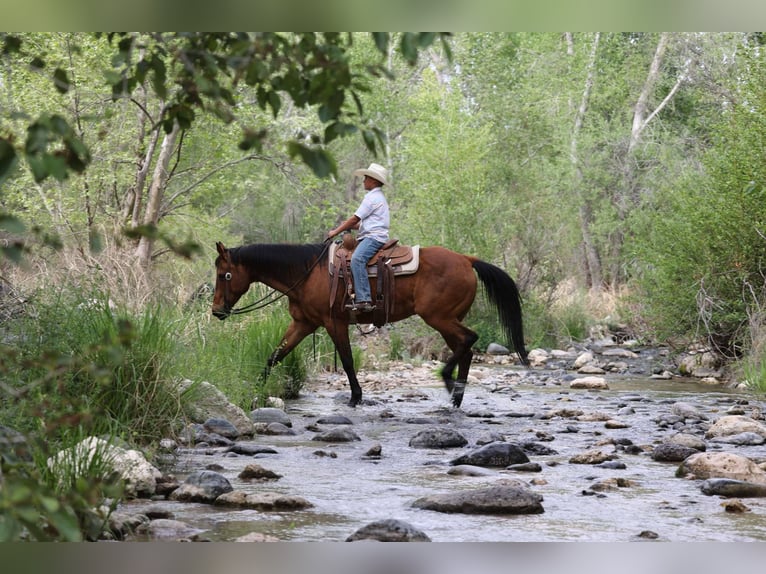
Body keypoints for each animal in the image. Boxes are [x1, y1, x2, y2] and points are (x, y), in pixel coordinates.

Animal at [211, 240, 529, 408]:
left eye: (225, 275)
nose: (216, 311)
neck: (307, 273)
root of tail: (466, 259)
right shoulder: (303, 324)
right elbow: (275, 355)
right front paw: (254, 391)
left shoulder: (334, 322)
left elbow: (347, 360)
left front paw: (355, 397)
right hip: (447, 319)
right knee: (465, 348)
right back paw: (456, 396)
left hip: (439, 317)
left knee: (469, 340)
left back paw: (448, 381)